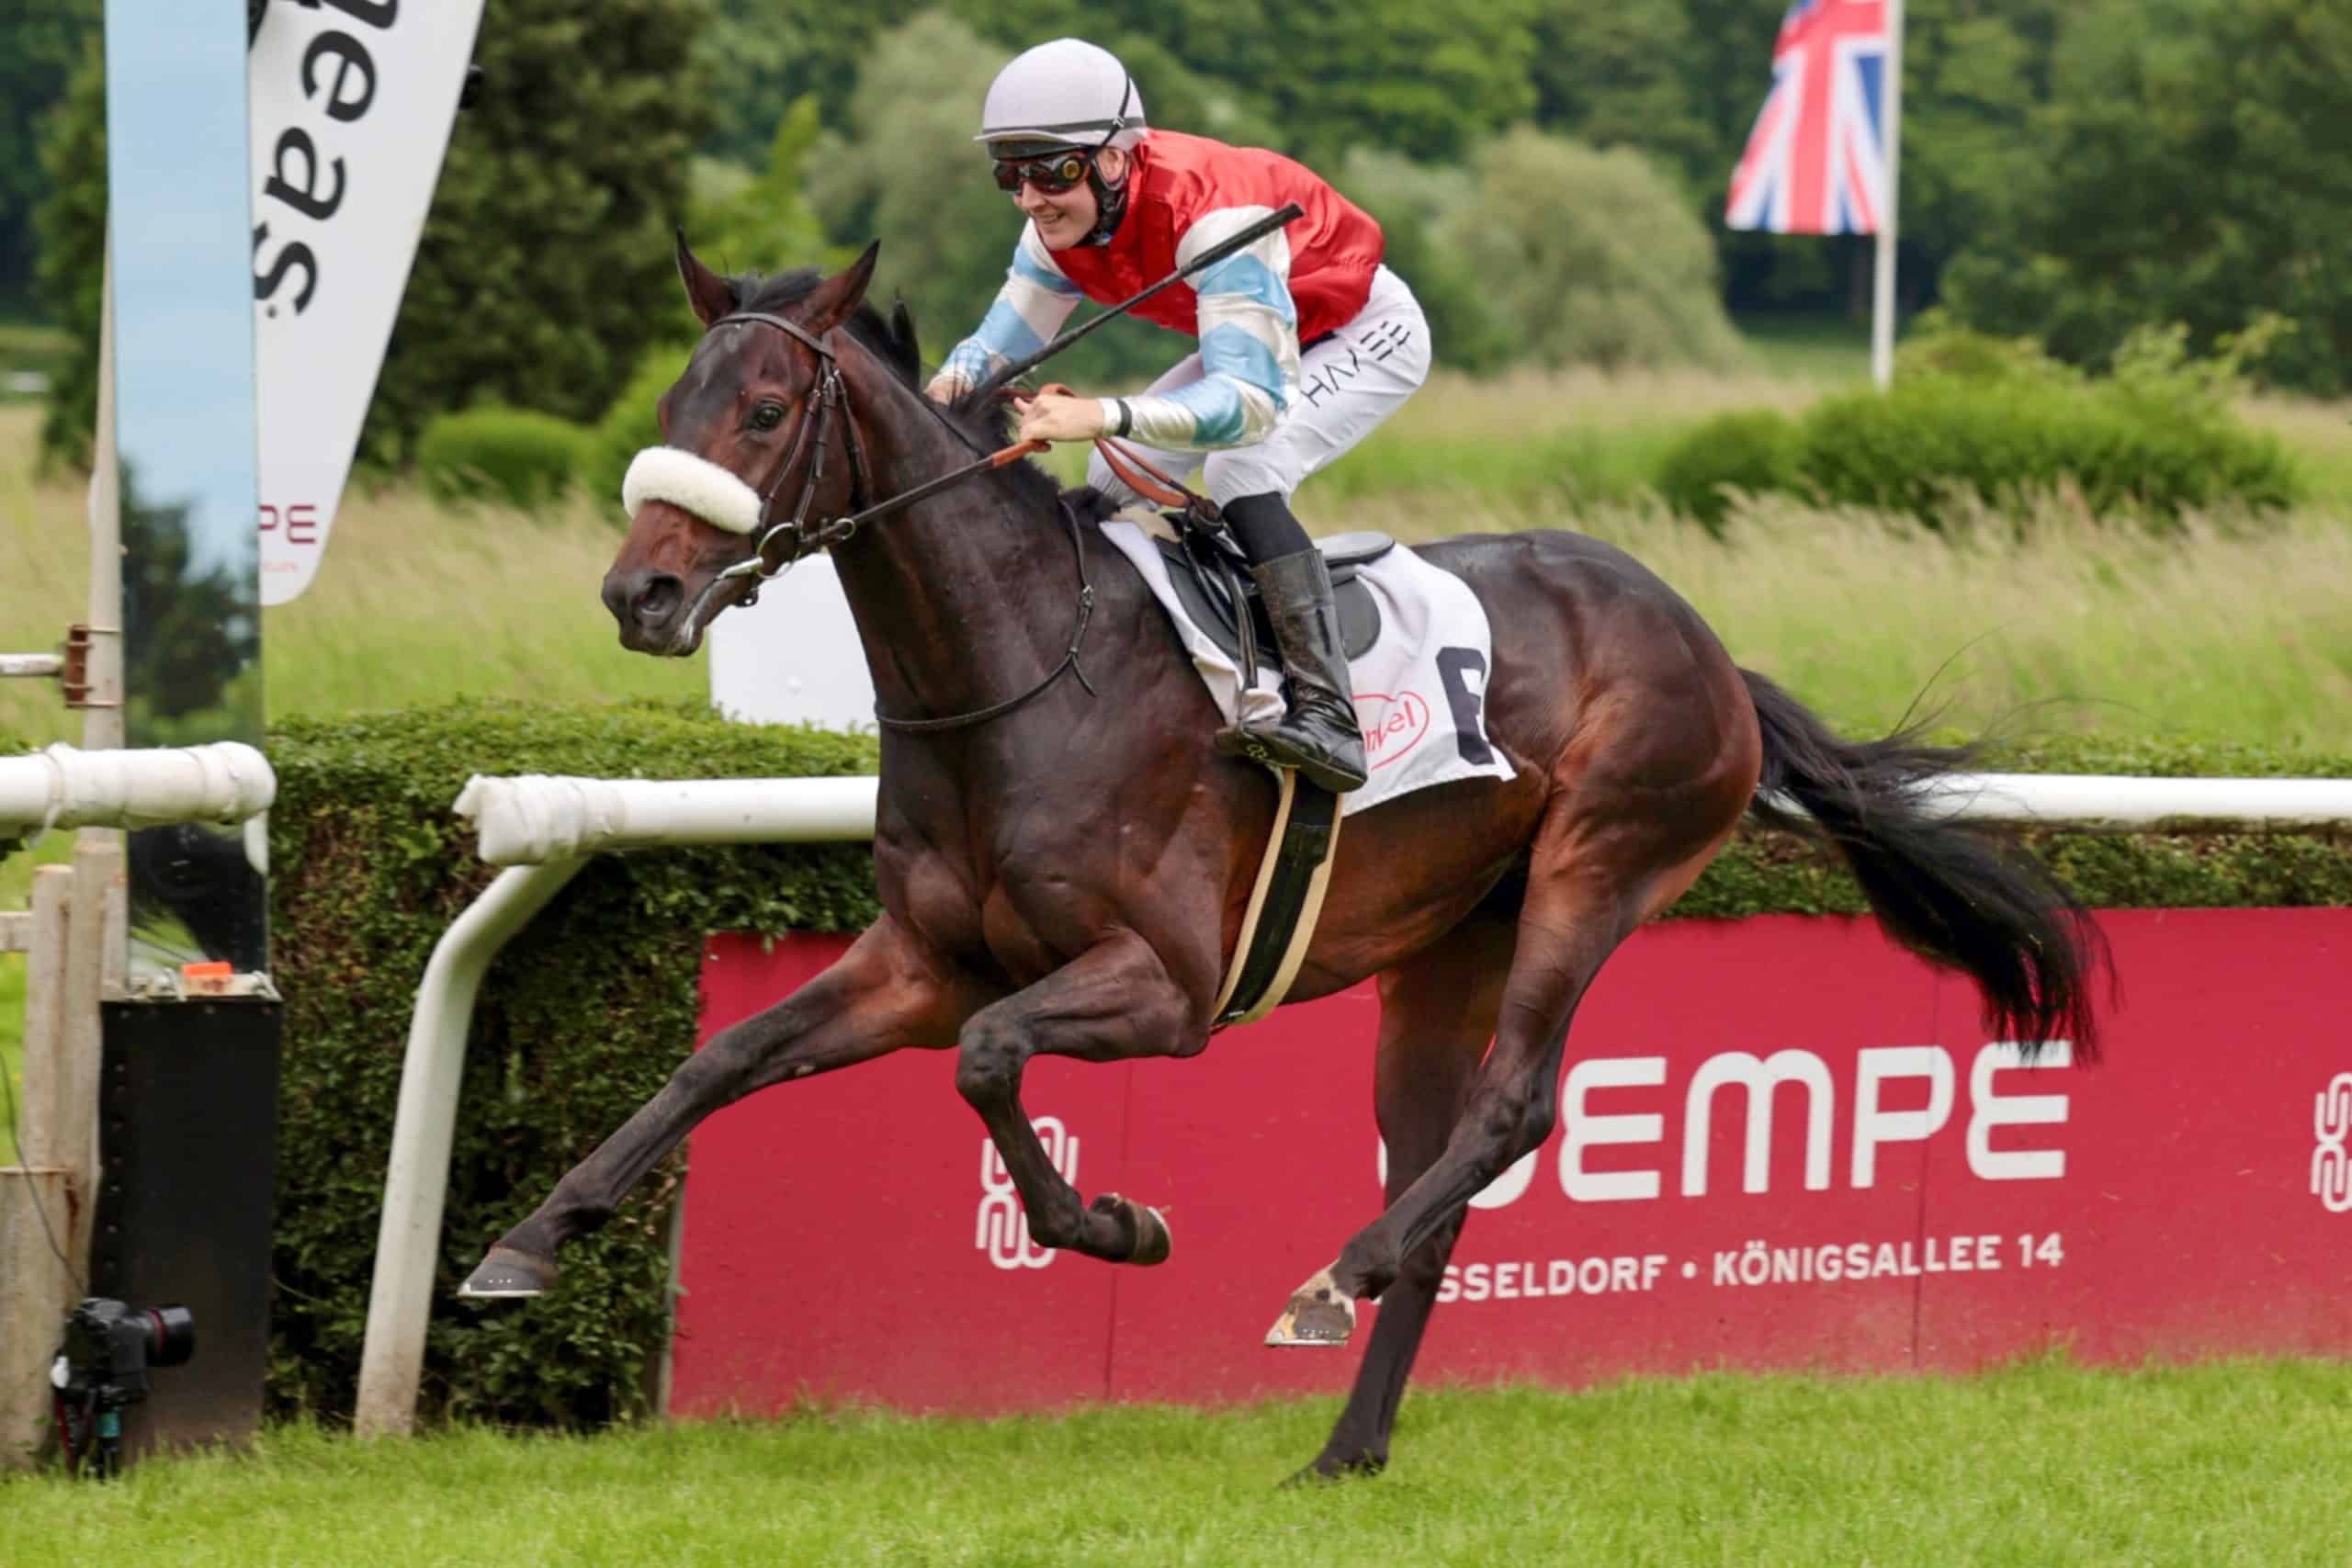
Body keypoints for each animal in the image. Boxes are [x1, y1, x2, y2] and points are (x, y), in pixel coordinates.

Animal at [468, 245, 2107, 1485]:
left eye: (760, 406)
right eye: (671, 399)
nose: (641, 591)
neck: (1022, 670)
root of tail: (1708, 643)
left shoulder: (1167, 982)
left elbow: (994, 1060)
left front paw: (1114, 1222)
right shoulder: (917, 962)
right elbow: (723, 1055)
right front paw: (528, 1239)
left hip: (1595, 869)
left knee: (1514, 1109)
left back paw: (1333, 1276)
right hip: (1450, 945)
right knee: (1442, 1167)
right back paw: (1348, 1437)